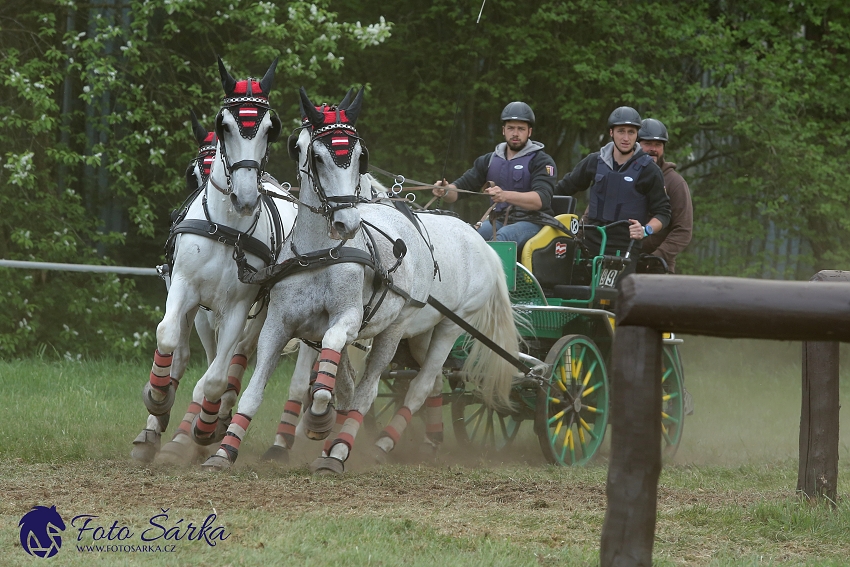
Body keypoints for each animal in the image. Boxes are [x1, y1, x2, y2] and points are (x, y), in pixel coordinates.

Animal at [128, 57, 294, 464]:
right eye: (225, 126)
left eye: (270, 128)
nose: (244, 198)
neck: (225, 229)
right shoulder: (185, 290)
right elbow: (169, 338)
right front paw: (158, 399)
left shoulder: (238, 307)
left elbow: (217, 378)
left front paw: (205, 426)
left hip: (259, 314)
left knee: (234, 359)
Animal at [202, 87, 520, 474]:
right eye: (314, 154)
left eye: (359, 156)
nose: (347, 223)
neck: (319, 253)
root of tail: (484, 245)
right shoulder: (280, 323)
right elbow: (259, 389)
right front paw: (224, 451)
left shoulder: (347, 321)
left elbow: (332, 379)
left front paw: (318, 420)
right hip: (420, 335)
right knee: (424, 385)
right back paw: (421, 441)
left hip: (429, 327)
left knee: (398, 387)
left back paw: (350, 449)